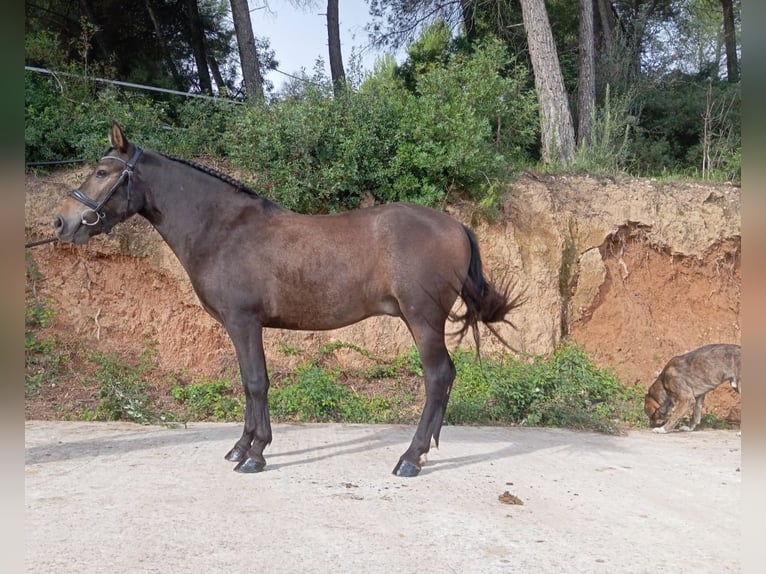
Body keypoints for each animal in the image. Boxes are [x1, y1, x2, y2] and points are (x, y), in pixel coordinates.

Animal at [53, 123, 522, 477]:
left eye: (101, 172)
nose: (62, 222)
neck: (223, 229)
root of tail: (456, 225)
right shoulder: (241, 327)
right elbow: (247, 383)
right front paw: (241, 447)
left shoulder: (244, 322)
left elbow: (256, 382)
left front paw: (255, 454)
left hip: (423, 320)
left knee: (438, 377)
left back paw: (410, 457)